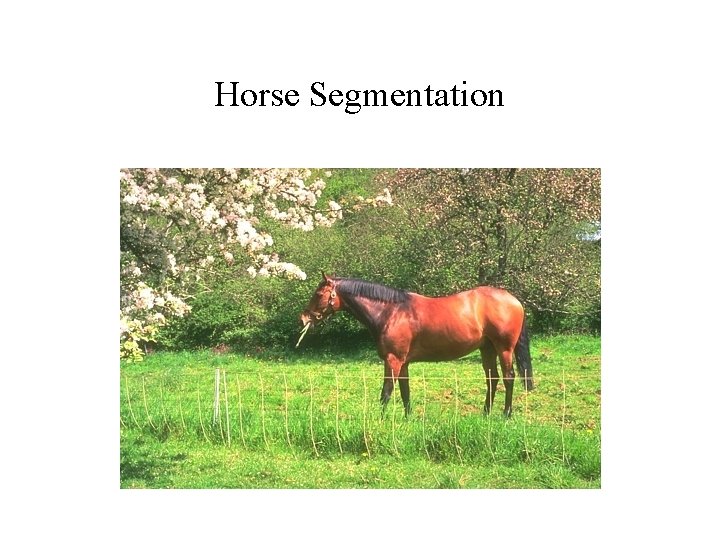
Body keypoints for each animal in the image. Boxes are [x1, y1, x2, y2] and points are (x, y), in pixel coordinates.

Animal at [299, 272, 534, 418]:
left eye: (318, 294)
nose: (303, 318)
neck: (392, 311)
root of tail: (514, 300)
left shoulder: (393, 360)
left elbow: (386, 392)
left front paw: (380, 420)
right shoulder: (403, 363)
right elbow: (405, 391)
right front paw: (407, 418)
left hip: (504, 349)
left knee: (509, 377)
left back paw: (506, 414)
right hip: (487, 349)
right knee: (492, 379)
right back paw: (486, 413)